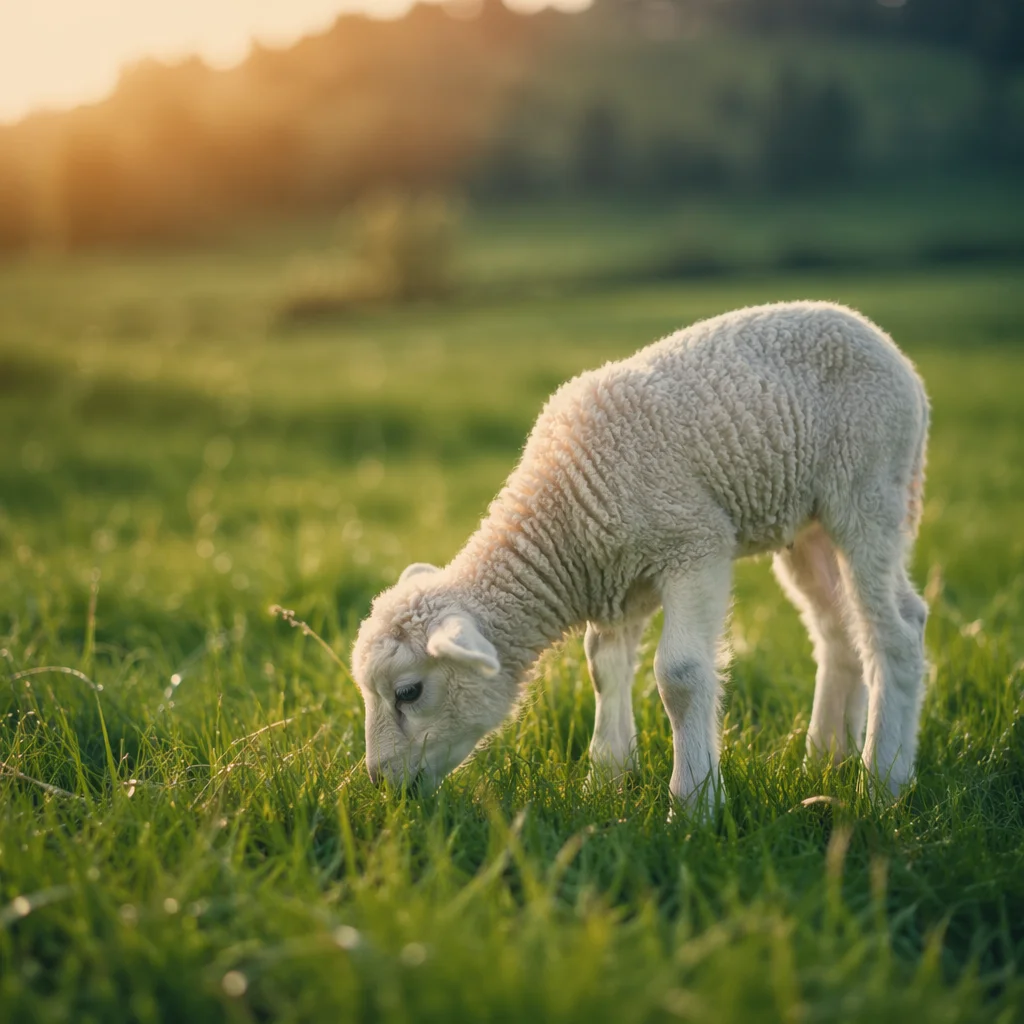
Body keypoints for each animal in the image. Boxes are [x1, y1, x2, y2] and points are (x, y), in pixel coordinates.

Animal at [351, 300, 929, 809]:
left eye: (408, 692)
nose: (381, 784)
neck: (563, 514)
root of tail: (881, 339)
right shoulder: (619, 578)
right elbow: (603, 668)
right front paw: (606, 779)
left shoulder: (695, 546)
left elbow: (681, 675)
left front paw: (693, 803)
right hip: (807, 524)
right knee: (839, 629)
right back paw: (825, 759)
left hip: (871, 489)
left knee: (897, 632)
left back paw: (882, 780)